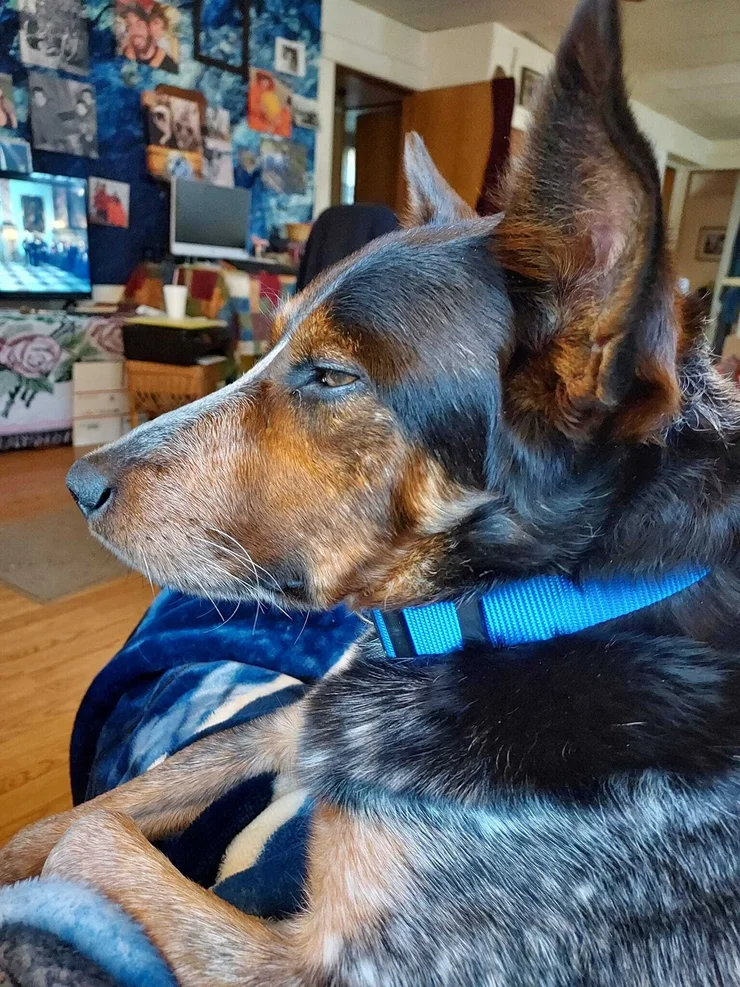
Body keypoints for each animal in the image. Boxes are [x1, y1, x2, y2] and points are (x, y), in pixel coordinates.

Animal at [4, 0, 740, 984]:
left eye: (331, 377)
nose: (78, 482)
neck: (517, 608)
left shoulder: (337, 964)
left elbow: (92, 842)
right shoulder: (297, 715)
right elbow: (98, 807)